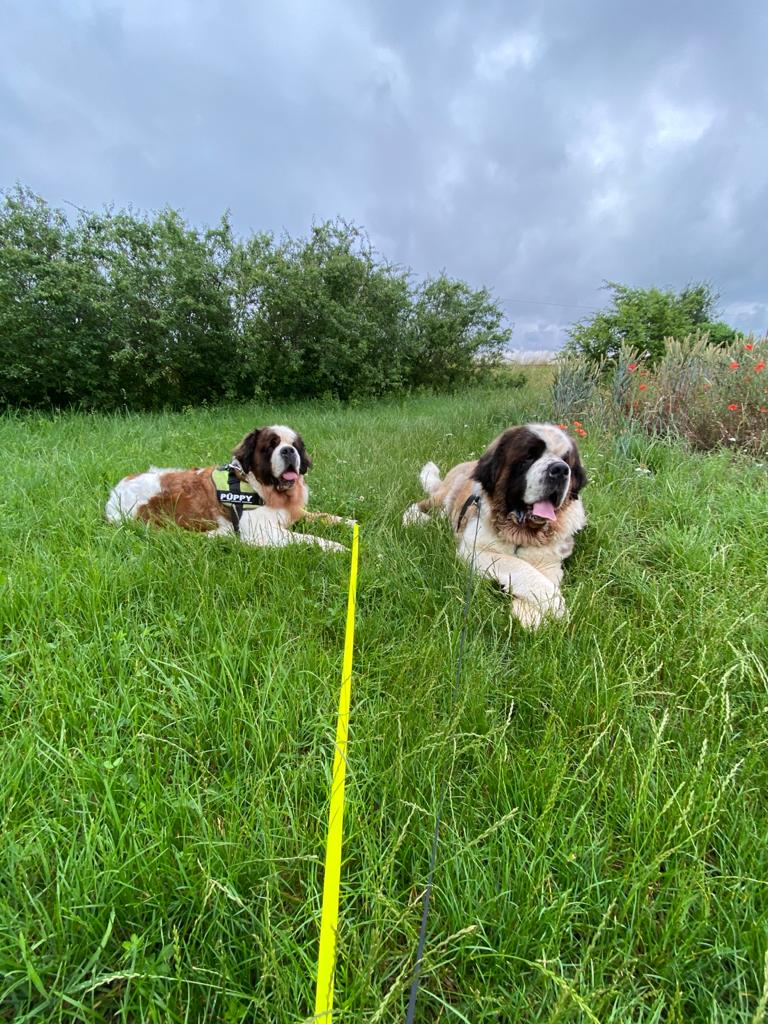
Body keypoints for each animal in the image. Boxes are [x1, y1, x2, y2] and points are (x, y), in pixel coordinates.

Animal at [106, 424, 346, 551]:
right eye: (270, 446)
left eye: (295, 445)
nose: (288, 451)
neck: (262, 489)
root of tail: (114, 494)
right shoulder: (264, 532)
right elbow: (307, 538)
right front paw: (337, 547)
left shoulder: (294, 512)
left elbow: (323, 516)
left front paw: (348, 523)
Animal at [403, 423, 587, 628]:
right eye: (529, 457)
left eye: (566, 461)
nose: (561, 469)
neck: (521, 533)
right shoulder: (474, 550)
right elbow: (519, 566)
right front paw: (558, 606)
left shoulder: (549, 561)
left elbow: (542, 576)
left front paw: (529, 614)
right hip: (443, 497)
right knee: (420, 506)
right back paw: (416, 519)